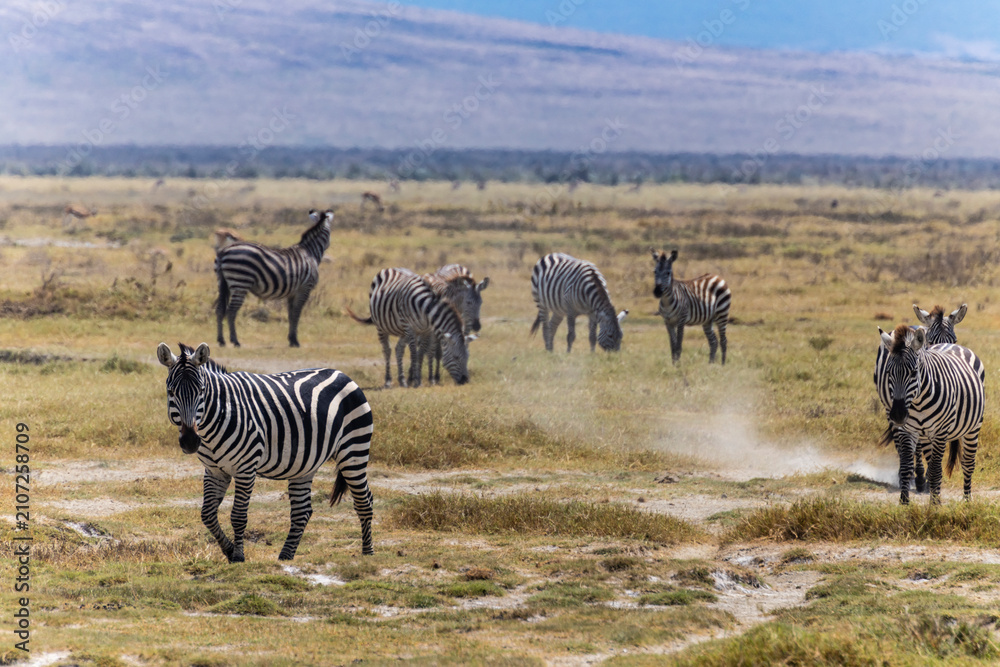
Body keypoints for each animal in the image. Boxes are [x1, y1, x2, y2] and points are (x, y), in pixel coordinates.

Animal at [156, 342, 374, 561]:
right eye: (171, 391)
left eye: (201, 391)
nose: (190, 442)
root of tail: (342, 374)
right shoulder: (215, 470)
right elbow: (207, 514)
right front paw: (228, 550)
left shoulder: (245, 468)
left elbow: (238, 516)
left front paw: (238, 556)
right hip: (305, 464)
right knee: (302, 511)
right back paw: (285, 556)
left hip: (354, 449)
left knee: (364, 500)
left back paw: (368, 554)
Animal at [215, 209, 332, 348]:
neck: (310, 253)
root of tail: (224, 250)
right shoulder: (304, 288)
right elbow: (297, 314)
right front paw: (295, 341)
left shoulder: (292, 292)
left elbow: (291, 314)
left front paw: (291, 340)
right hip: (240, 282)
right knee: (231, 311)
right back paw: (235, 341)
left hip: (223, 283)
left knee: (219, 310)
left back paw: (221, 340)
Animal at [874, 324, 984, 505]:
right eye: (889, 372)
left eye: (913, 372)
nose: (898, 415)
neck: (918, 402)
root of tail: (950, 345)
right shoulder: (907, 430)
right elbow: (907, 466)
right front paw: (904, 502)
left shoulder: (941, 432)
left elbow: (936, 469)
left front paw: (935, 504)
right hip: (925, 436)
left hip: (973, 428)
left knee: (968, 463)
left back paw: (967, 500)